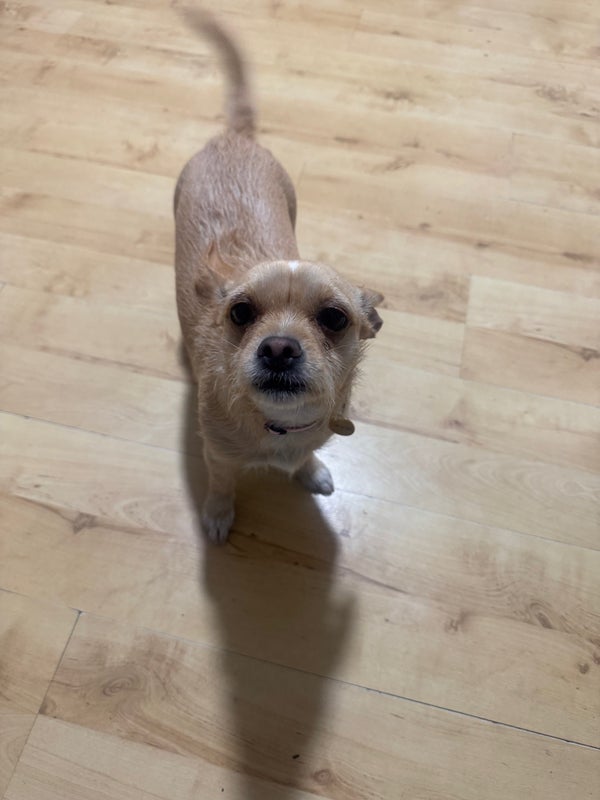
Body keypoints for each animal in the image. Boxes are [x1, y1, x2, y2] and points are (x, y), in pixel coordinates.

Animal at [174, 10, 383, 543]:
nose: (279, 349)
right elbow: (221, 486)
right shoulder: (218, 457)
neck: (280, 425)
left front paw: (311, 472)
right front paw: (217, 515)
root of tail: (234, 138)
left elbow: (307, 457)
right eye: (240, 312)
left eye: (334, 318)